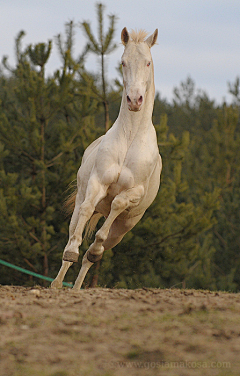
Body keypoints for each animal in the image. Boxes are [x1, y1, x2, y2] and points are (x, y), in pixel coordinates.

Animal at [51, 27, 162, 290]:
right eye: (123, 62)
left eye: (148, 62)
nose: (134, 100)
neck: (130, 138)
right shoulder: (97, 182)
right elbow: (84, 215)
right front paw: (72, 251)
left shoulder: (135, 192)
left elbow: (117, 205)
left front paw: (96, 245)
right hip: (79, 207)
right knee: (74, 234)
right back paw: (58, 284)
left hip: (123, 229)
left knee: (91, 257)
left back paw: (80, 282)